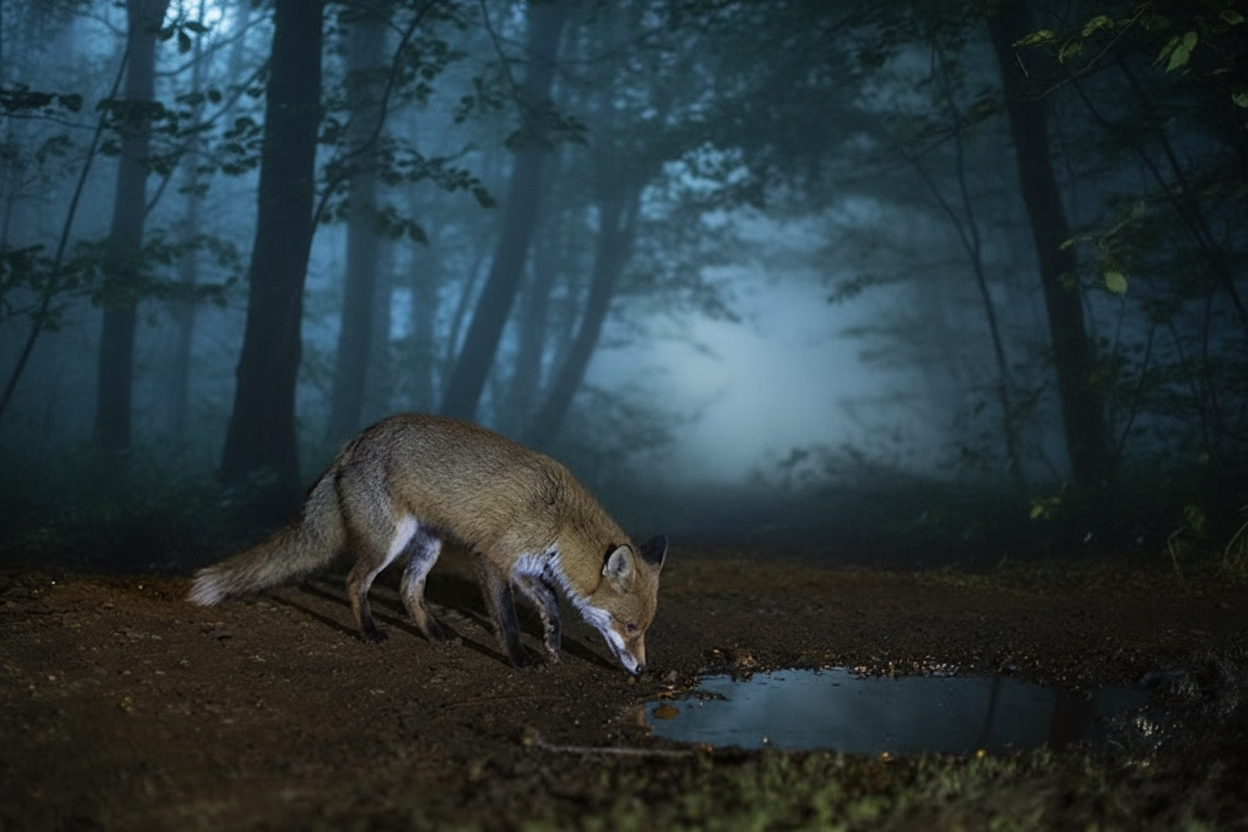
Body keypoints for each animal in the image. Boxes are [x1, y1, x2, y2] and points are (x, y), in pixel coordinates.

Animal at [188, 413, 667, 675]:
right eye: (630, 627)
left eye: (643, 628)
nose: (643, 671)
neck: (560, 520)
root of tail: (353, 444)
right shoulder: (491, 557)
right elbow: (508, 620)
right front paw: (519, 658)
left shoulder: (525, 566)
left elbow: (550, 602)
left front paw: (551, 644)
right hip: (388, 541)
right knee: (354, 581)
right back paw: (369, 631)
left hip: (428, 545)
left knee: (408, 589)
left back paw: (434, 633)